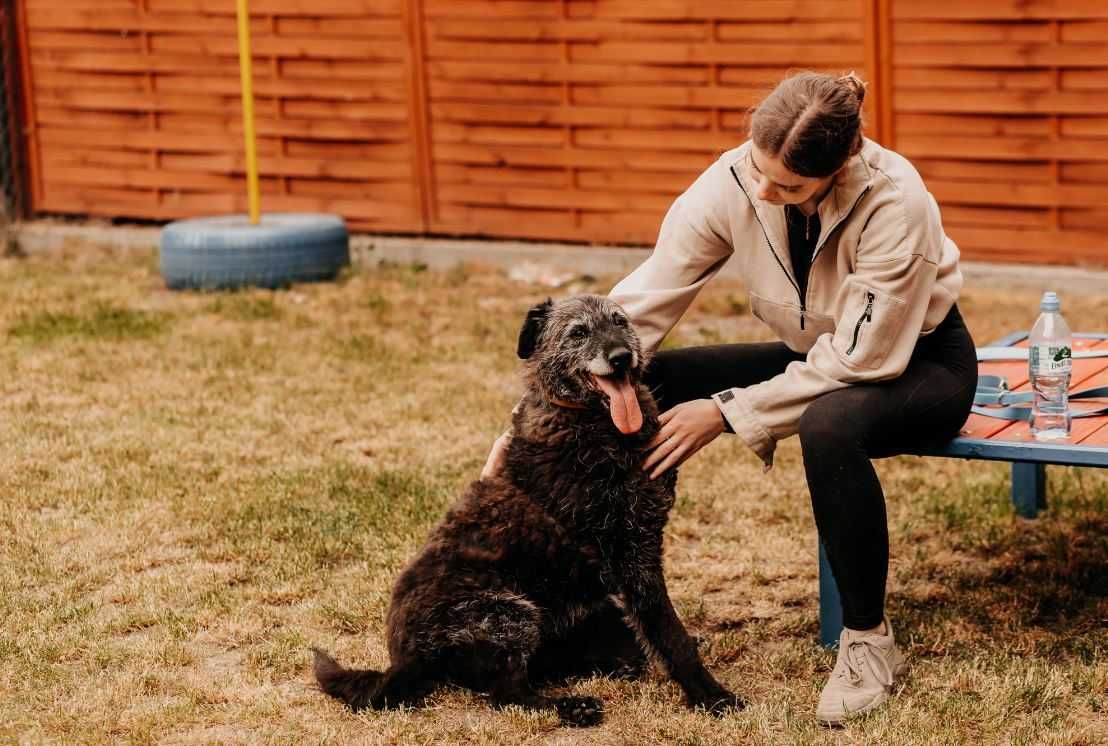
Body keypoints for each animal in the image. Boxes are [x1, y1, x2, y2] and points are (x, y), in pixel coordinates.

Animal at [312, 294, 744, 722]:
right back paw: (572, 706)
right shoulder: (632, 556)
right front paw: (711, 696)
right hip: (507, 615)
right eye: (578, 332)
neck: (588, 422)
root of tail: (403, 663)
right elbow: (670, 634)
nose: (621, 357)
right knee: (508, 693)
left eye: (619, 321)